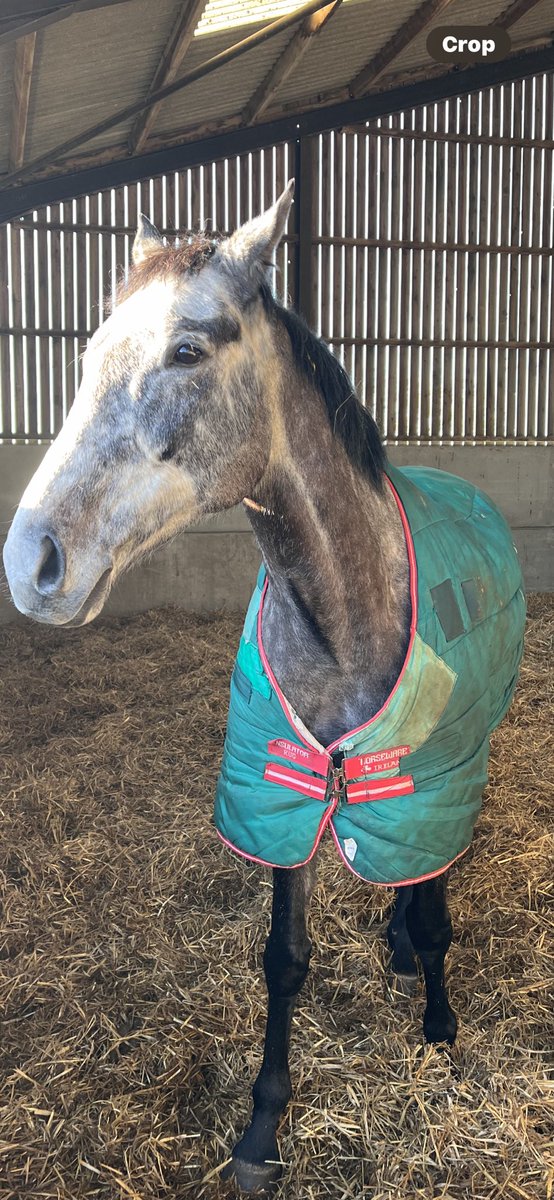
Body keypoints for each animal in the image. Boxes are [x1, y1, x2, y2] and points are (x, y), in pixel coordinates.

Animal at [3, 182, 522, 1195]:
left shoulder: (437, 778)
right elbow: (284, 960)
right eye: (88, 352)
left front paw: (439, 1024)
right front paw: (261, 1132)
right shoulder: (282, 791)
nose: (30, 560)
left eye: (187, 350)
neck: (347, 612)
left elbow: (437, 904)